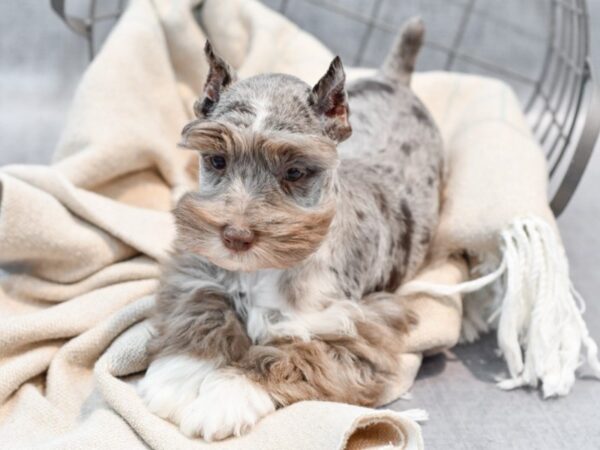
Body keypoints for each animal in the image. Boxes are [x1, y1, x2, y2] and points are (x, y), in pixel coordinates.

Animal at [139, 19, 440, 442]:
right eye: (216, 160)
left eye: (295, 172)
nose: (235, 238)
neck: (266, 270)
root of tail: (395, 78)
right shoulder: (197, 272)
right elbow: (201, 310)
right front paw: (180, 377)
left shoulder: (355, 328)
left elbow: (288, 357)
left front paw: (223, 399)